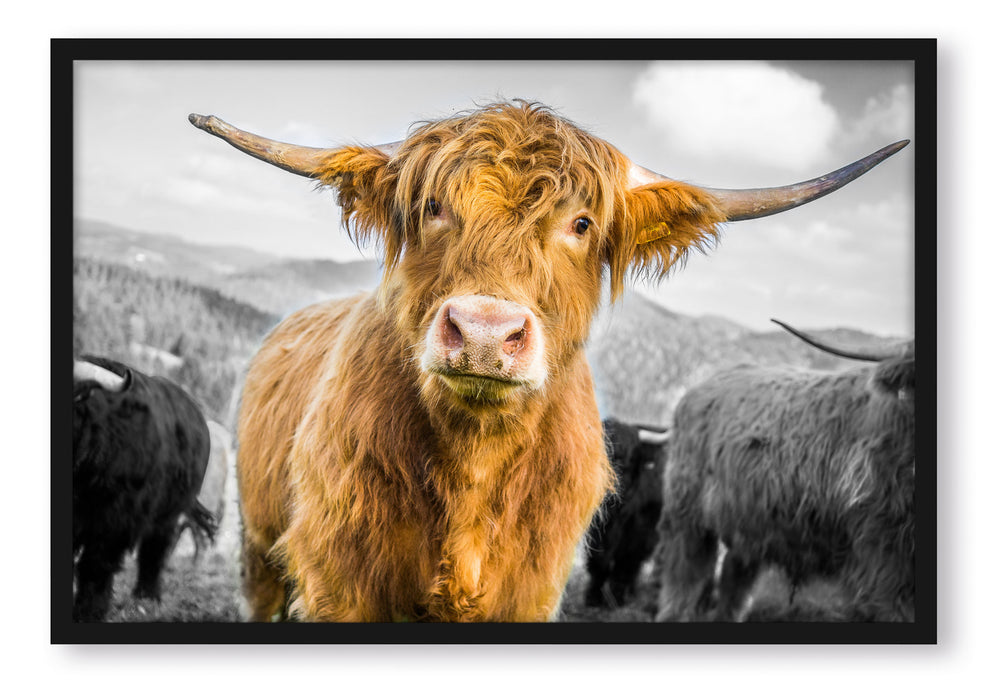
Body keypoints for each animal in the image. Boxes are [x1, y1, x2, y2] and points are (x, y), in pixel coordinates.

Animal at [72, 356, 216, 622]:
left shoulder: (115, 519)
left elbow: (96, 563)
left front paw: (89, 611)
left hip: (167, 514)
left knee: (155, 550)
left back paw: (147, 596)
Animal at [584, 418, 669, 609]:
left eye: (627, 459)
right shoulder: (598, 530)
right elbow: (599, 561)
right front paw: (593, 597)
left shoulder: (641, 533)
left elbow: (626, 564)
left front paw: (617, 598)